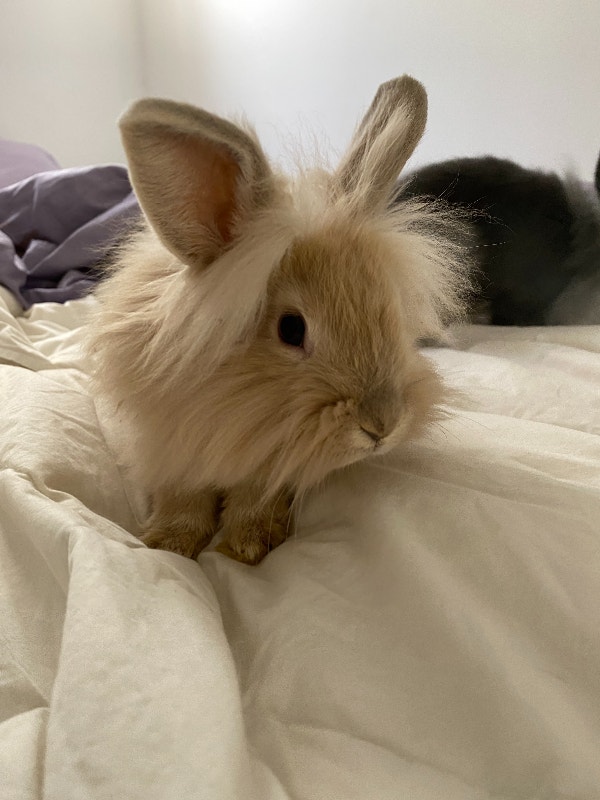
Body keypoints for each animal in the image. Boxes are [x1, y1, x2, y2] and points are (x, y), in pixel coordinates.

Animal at [87, 76, 469, 565]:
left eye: (393, 314)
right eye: (291, 329)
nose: (382, 426)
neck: (234, 400)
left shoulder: (268, 457)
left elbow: (254, 495)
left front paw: (249, 544)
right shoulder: (172, 447)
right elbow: (183, 497)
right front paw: (169, 543)